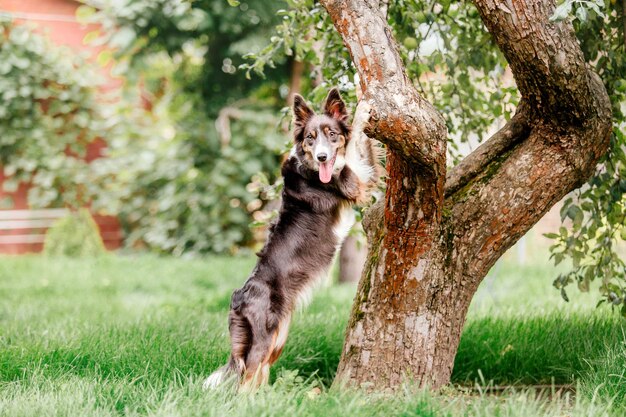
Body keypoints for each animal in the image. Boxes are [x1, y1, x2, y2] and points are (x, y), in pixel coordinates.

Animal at [204, 88, 380, 390]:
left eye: (331, 134)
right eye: (310, 138)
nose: (322, 157)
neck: (312, 168)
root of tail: (238, 299)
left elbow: (361, 144)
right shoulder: (353, 184)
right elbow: (355, 139)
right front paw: (364, 107)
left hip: (278, 338)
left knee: (258, 375)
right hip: (264, 338)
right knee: (246, 379)